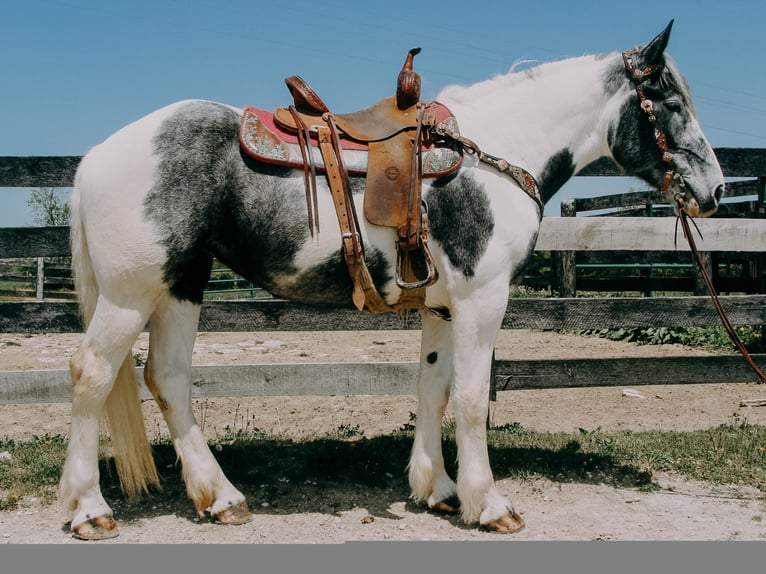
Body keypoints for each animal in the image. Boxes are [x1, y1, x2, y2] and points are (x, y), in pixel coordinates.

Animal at [61, 19, 728, 540]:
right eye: (670, 101)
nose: (715, 191)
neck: (494, 155)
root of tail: (98, 155)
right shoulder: (482, 299)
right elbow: (471, 398)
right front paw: (490, 504)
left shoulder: (441, 307)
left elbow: (433, 389)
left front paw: (438, 489)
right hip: (131, 294)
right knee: (92, 374)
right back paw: (90, 509)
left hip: (180, 285)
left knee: (167, 378)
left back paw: (221, 498)